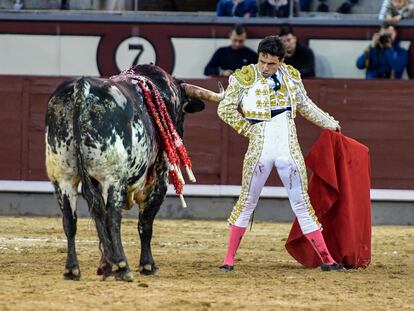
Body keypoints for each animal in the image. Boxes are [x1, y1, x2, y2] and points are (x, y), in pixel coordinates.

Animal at [45, 64, 223, 282]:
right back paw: (122, 267)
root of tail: (82, 86)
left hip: (63, 177)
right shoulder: (158, 180)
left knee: (71, 220)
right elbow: (145, 224)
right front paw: (147, 265)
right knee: (113, 218)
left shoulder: (93, 181)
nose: (180, 133)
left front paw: (105, 264)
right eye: (182, 110)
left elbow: (97, 217)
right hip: (112, 177)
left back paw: (75, 269)